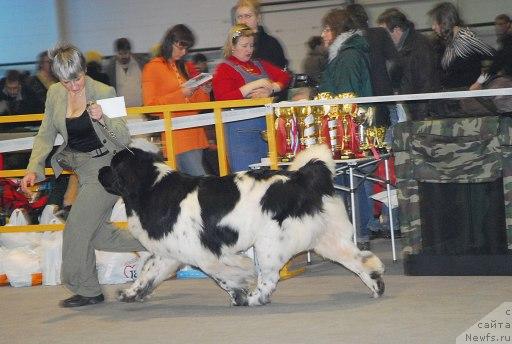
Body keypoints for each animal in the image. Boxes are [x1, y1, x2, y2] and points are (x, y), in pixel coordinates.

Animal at [98, 140, 384, 306]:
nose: (100, 170)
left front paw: (239, 294)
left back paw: (256, 298)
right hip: (326, 239)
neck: (151, 187)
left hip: (269, 243)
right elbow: (147, 274)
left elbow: (224, 276)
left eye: (112, 165)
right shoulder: (169, 251)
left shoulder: (203, 253)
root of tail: (303, 178)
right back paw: (376, 287)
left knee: (269, 278)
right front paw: (131, 294)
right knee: (361, 260)